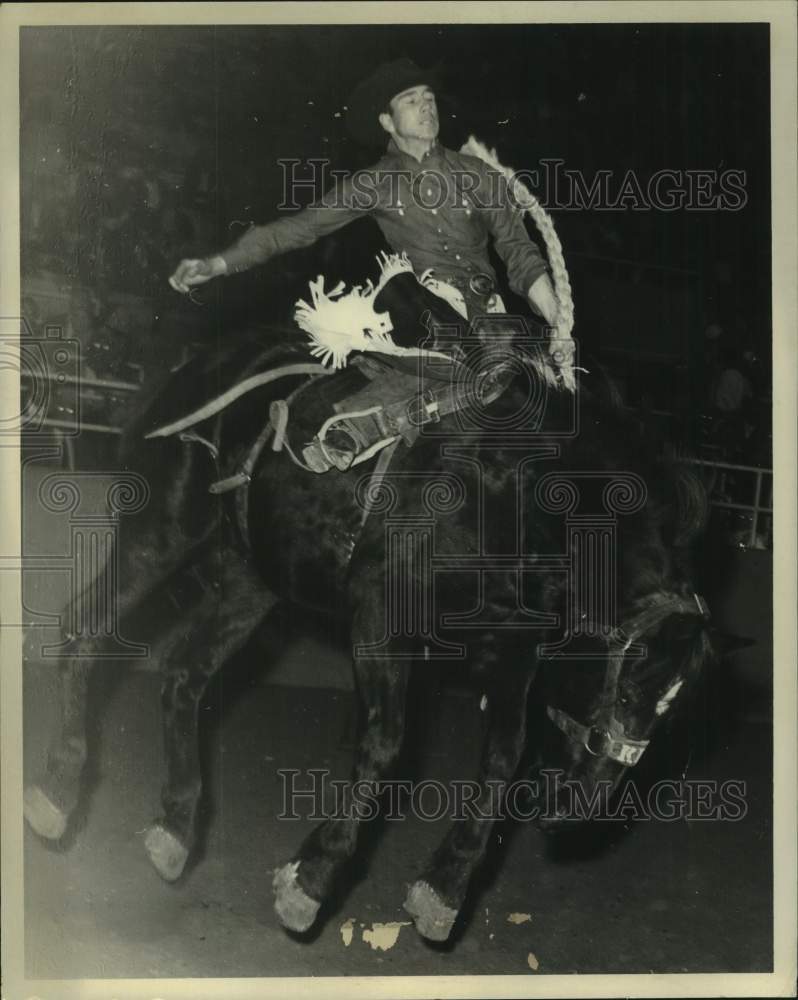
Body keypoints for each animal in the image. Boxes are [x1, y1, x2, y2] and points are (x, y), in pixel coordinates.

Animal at [23, 316, 712, 940]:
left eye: (670, 716)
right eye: (627, 689)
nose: (579, 812)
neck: (504, 493)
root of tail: (193, 366)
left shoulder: (515, 648)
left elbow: (502, 760)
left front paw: (442, 890)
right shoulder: (380, 612)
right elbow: (386, 744)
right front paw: (309, 881)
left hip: (253, 580)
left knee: (184, 671)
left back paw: (173, 828)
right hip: (166, 530)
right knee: (86, 629)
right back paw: (56, 793)